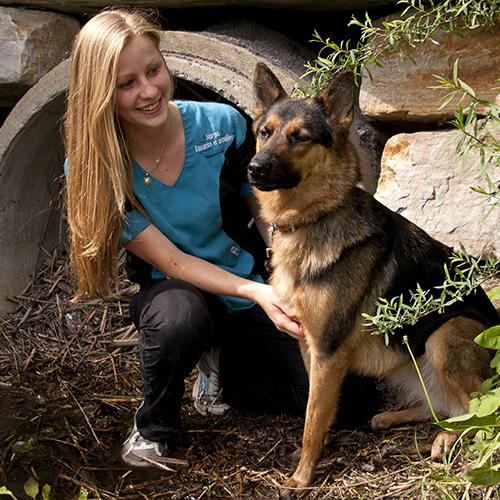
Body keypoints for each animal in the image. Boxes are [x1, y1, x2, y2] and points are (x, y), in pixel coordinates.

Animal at [247, 61, 500, 492]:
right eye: (265, 132)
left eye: (300, 138)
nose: (254, 168)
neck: (315, 219)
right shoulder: (311, 347)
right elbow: (317, 410)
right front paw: (314, 453)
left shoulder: (329, 349)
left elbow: (313, 418)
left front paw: (302, 476)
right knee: (443, 407)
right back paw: (393, 418)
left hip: (444, 337)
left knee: (476, 411)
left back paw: (445, 440)